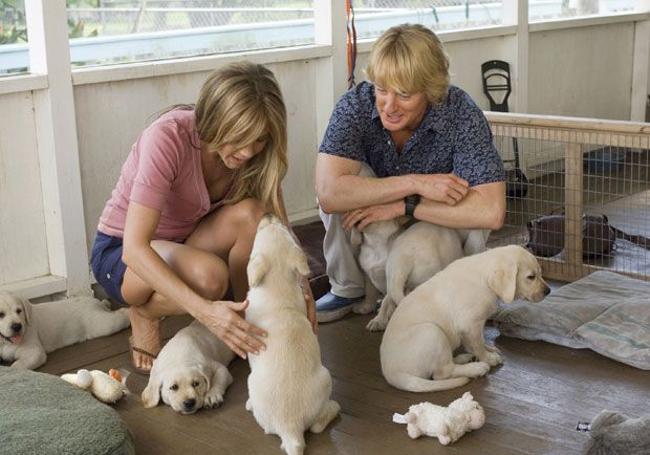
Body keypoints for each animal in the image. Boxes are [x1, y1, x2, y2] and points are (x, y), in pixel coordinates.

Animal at [0, 292, 130, 370]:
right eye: (1, 314)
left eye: (19, 311)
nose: (17, 326)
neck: (4, 342)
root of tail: (95, 302)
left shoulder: (34, 352)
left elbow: (16, 366)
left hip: (101, 324)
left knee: (119, 318)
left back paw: (127, 312)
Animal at [380, 246, 548, 392]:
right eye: (531, 277)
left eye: (540, 273)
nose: (548, 291)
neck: (483, 277)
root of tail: (391, 373)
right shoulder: (470, 324)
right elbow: (478, 344)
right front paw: (488, 358)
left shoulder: (473, 326)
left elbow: (476, 342)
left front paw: (488, 348)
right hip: (431, 332)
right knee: (442, 373)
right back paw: (476, 368)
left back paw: (464, 358)